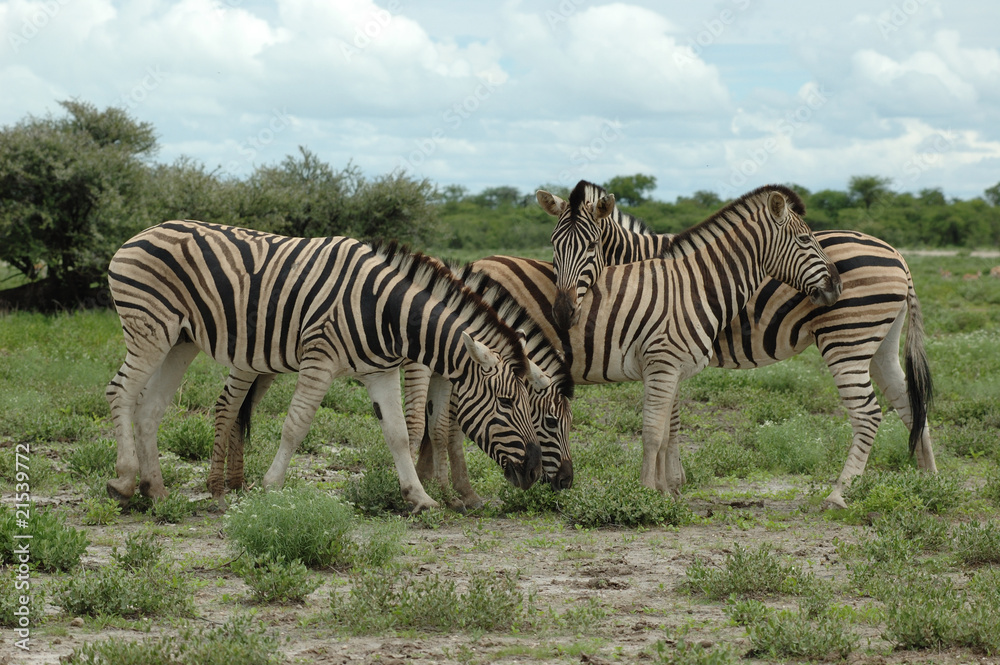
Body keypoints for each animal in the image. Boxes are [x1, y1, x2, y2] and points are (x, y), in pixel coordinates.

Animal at [104, 220, 547, 512]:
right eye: (507, 404)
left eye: (533, 407)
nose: (534, 473)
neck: (385, 310)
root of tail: (143, 232)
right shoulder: (319, 359)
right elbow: (296, 425)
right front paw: (271, 486)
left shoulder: (380, 370)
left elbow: (398, 433)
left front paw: (418, 496)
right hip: (150, 329)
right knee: (120, 391)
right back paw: (124, 481)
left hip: (181, 341)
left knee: (150, 408)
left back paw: (156, 491)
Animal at [409, 185, 841, 493]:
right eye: (807, 241)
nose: (837, 285)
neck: (695, 286)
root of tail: (468, 268)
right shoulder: (662, 363)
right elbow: (652, 432)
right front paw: (649, 493)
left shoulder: (672, 369)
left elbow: (668, 431)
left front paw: (666, 489)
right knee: (449, 423)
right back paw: (455, 491)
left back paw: (441, 487)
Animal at [540, 180, 936, 507]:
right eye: (553, 245)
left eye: (591, 247)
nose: (562, 311)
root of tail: (898, 255)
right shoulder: (670, 352)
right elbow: (673, 421)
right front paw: (674, 483)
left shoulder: (665, 350)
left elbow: (669, 422)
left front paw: (670, 485)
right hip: (880, 344)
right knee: (911, 405)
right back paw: (929, 482)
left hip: (847, 340)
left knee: (868, 413)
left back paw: (839, 494)